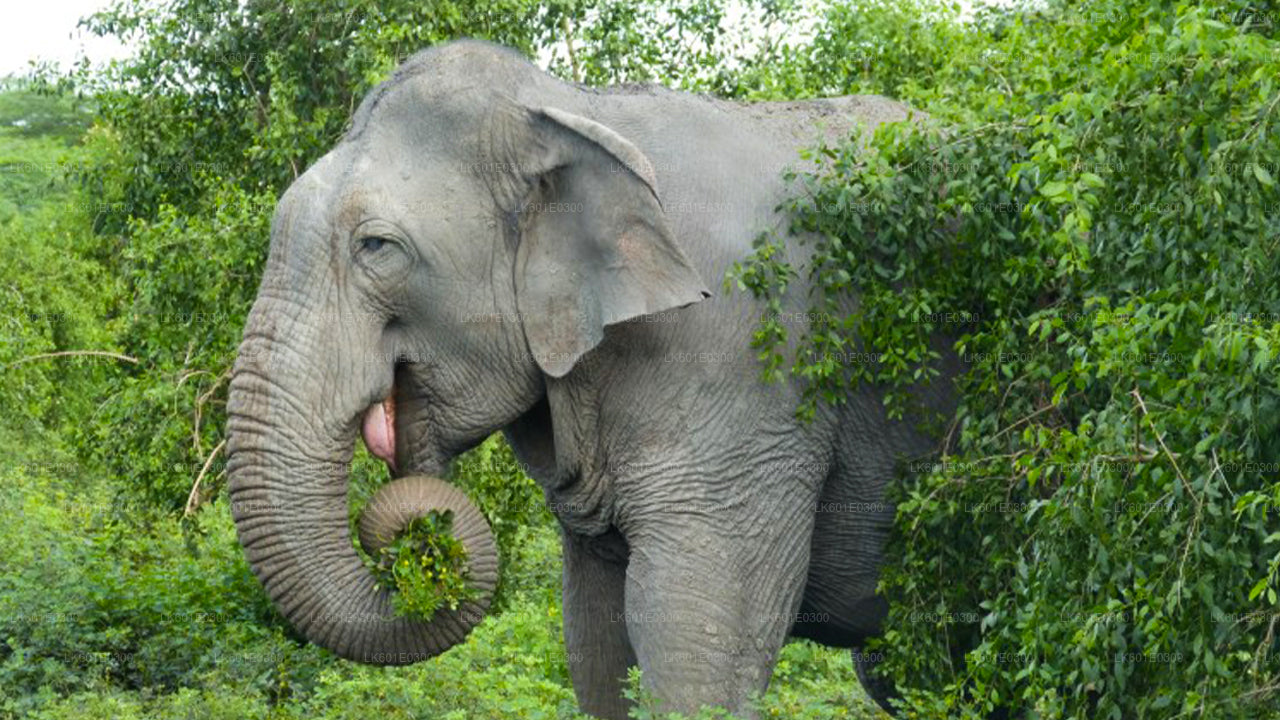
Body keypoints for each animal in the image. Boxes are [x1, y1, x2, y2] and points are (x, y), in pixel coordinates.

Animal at [225, 39, 957, 717]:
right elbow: (596, 641)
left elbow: (698, 640)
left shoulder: (748, 368)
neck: (574, 109)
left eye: (376, 248)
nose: (421, 535)